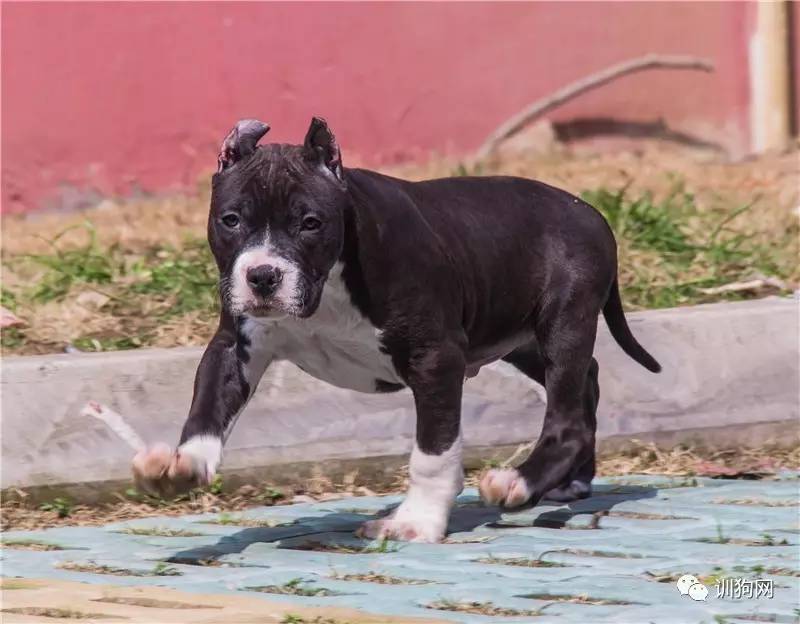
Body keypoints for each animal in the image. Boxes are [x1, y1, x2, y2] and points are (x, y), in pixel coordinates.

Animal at [133, 117, 664, 540]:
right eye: (231, 220)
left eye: (310, 223)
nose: (263, 276)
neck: (330, 284)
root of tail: (589, 210)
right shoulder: (235, 345)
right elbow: (209, 405)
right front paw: (185, 464)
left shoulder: (436, 359)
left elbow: (432, 454)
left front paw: (416, 521)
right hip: (518, 336)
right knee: (587, 382)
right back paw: (570, 481)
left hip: (563, 321)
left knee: (567, 416)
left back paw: (519, 481)